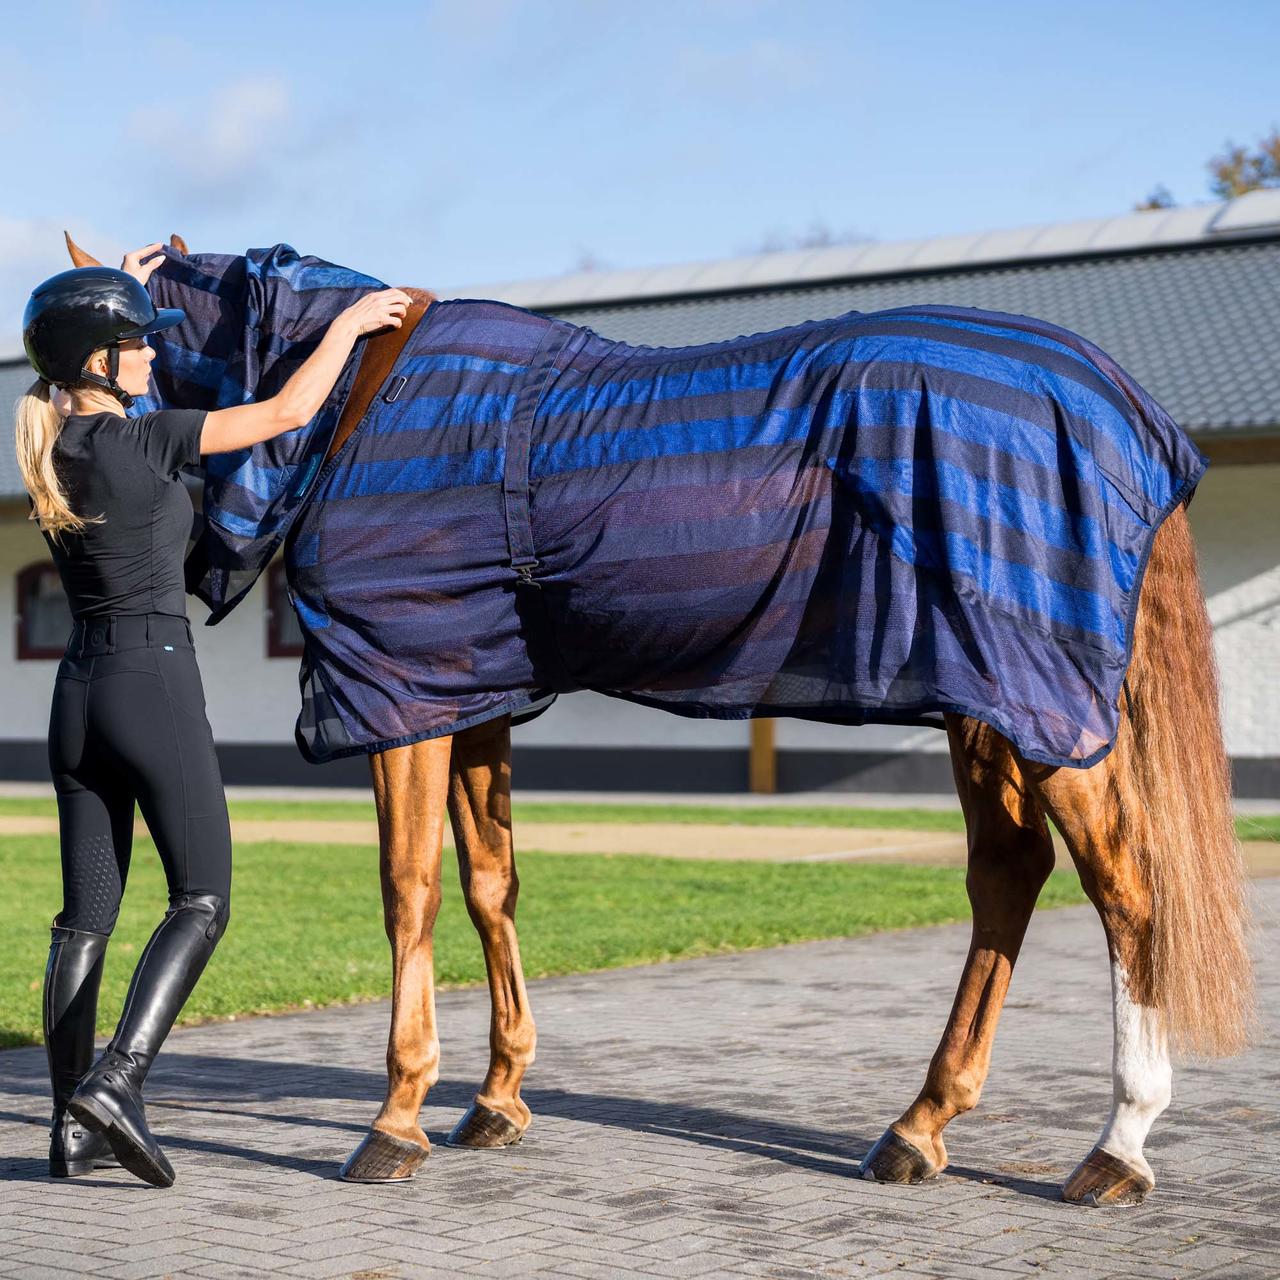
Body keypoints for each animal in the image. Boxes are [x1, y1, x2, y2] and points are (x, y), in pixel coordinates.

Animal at [63, 233, 1254, 1204]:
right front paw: (495, 1099)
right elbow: (490, 884)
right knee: (1008, 876)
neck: (372, 390)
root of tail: (1121, 407)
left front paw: (395, 1117)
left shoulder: (401, 692)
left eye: (150, 332)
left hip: (1038, 705)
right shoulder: (472, 690)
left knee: (1127, 888)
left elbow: (409, 895)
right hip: (988, 701)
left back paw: (1116, 1144)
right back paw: (920, 1127)